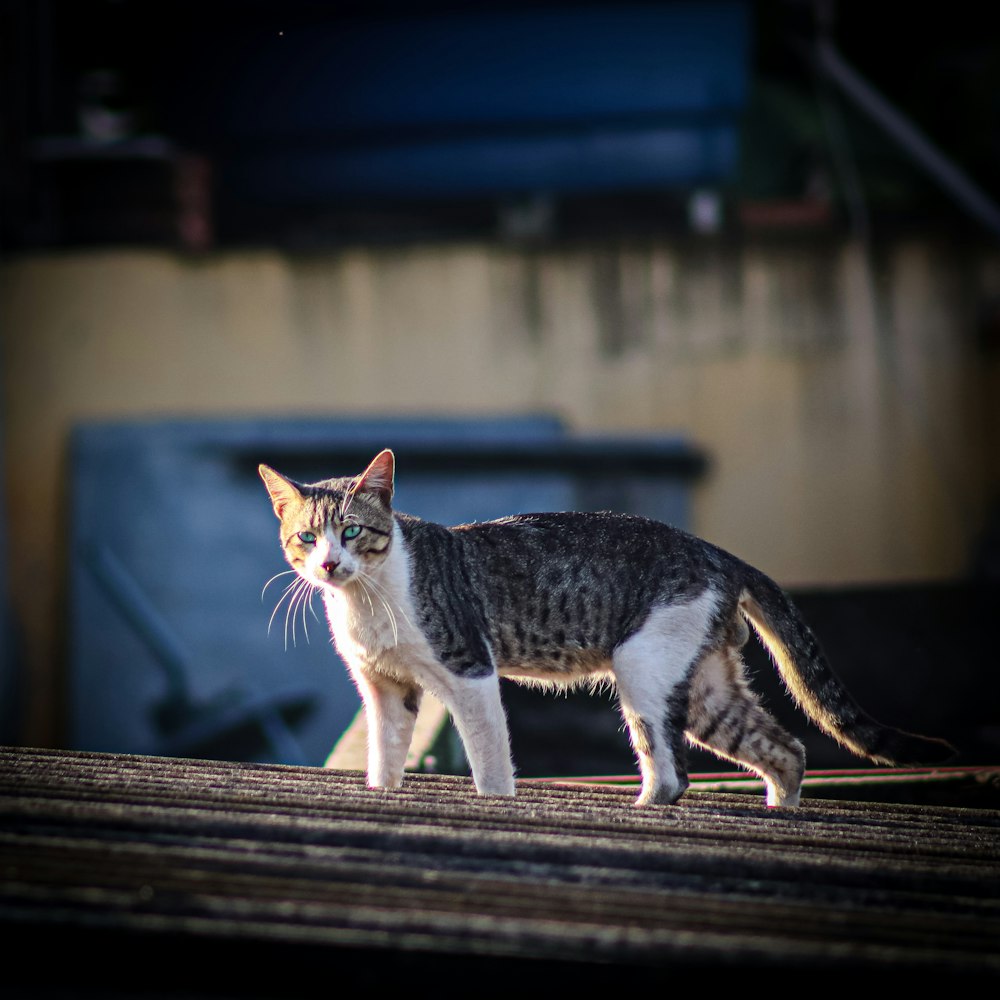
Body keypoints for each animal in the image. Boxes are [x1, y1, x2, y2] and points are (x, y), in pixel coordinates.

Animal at [258, 450, 952, 808]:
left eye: (352, 531)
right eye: (307, 538)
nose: (329, 564)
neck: (370, 600)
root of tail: (716, 552)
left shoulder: (470, 670)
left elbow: (490, 765)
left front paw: (495, 805)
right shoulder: (385, 688)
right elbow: (384, 760)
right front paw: (383, 790)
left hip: (644, 668)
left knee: (673, 774)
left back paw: (646, 809)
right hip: (705, 686)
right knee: (786, 749)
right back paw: (780, 817)